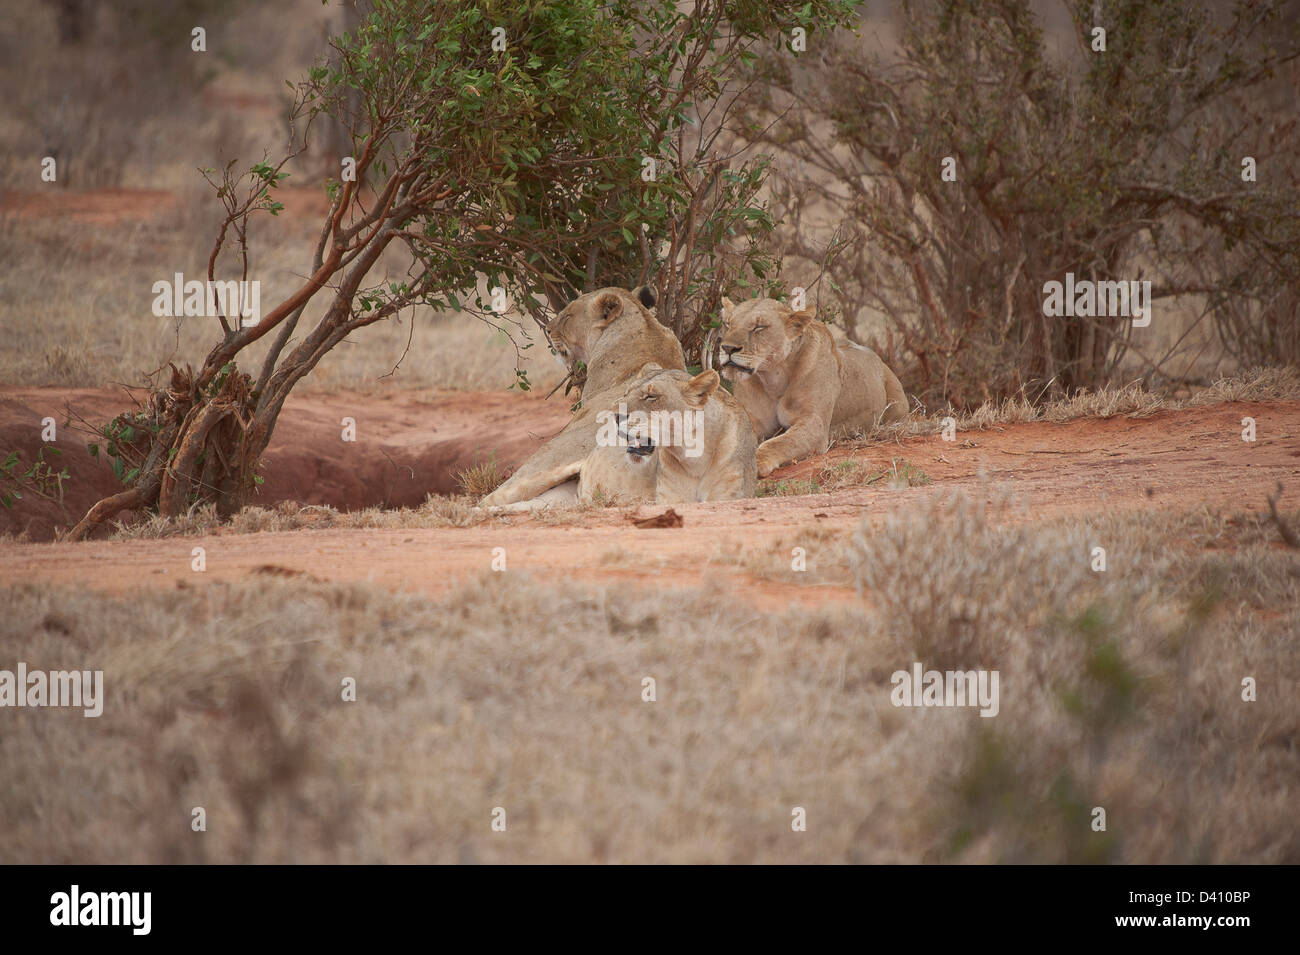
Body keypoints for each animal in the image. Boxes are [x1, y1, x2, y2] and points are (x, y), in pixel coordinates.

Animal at [722, 297, 904, 475]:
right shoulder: (752, 418)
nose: (727, 348)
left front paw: (756, 462)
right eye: (728, 324)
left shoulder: (815, 424)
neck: (773, 379)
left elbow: (780, 442)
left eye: (759, 327)